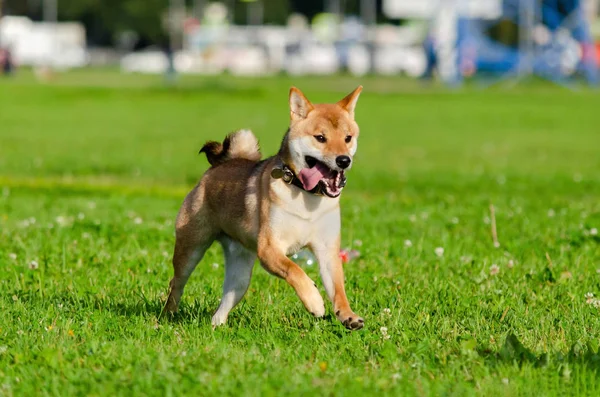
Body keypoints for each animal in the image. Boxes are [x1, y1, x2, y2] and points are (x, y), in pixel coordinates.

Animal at [163, 87, 366, 332]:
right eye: (320, 138)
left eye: (348, 138)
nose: (343, 160)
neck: (307, 197)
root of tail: (218, 167)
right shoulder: (270, 249)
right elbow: (295, 271)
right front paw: (315, 302)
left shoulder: (327, 251)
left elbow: (338, 290)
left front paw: (348, 316)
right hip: (191, 247)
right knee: (176, 283)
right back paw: (168, 316)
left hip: (240, 273)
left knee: (227, 299)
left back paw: (216, 327)